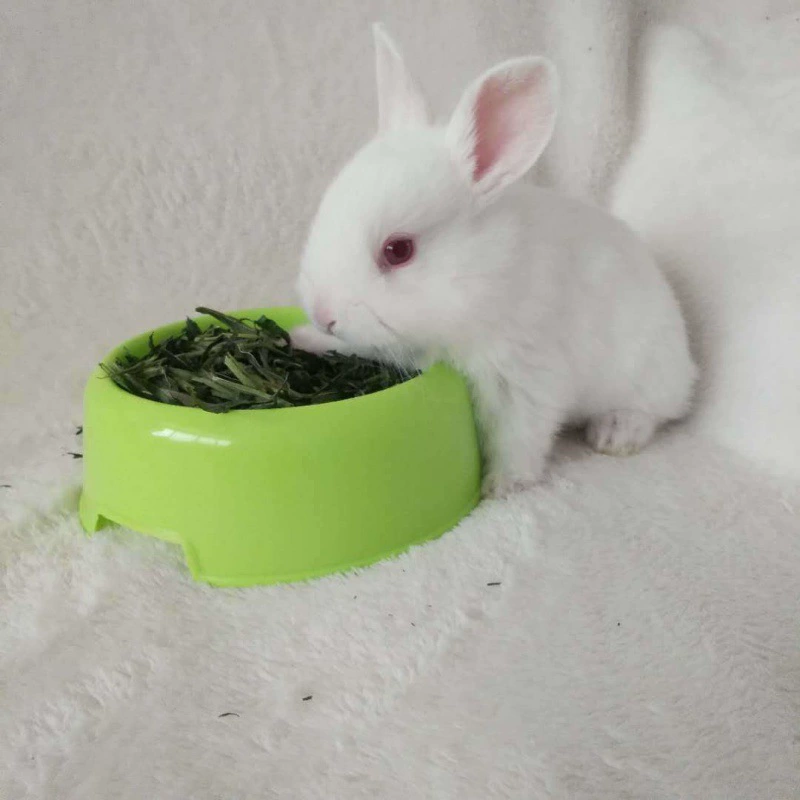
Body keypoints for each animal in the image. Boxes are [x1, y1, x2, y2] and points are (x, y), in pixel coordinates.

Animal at [291, 24, 697, 497]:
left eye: (398, 250)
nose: (323, 315)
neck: (485, 272)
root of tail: (688, 364)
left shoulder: (523, 377)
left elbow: (517, 437)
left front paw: (501, 487)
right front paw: (303, 337)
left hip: (647, 373)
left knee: (656, 411)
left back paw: (614, 434)